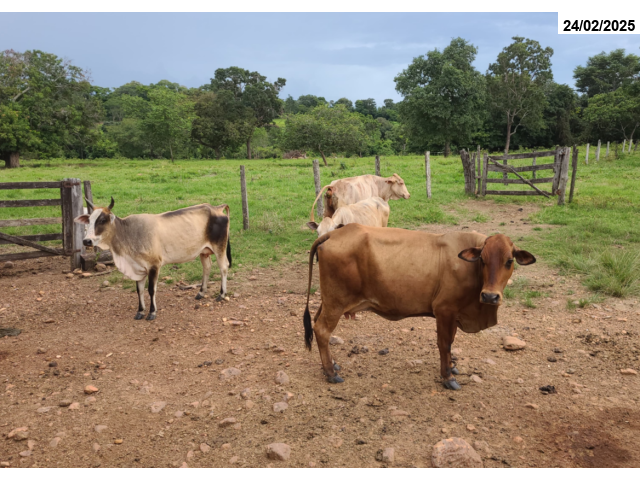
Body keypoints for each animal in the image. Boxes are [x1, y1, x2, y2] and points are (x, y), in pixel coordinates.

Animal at [74, 197, 232, 321]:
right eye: (89, 220)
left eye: (102, 220)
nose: (87, 241)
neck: (127, 233)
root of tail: (216, 208)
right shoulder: (138, 268)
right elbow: (139, 290)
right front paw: (140, 311)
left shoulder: (154, 265)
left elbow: (151, 289)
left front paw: (152, 312)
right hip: (203, 251)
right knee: (207, 267)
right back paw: (201, 292)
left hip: (219, 247)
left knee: (223, 267)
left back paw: (221, 294)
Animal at [302, 225, 535, 390]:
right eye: (483, 260)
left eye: (509, 261)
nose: (489, 296)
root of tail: (333, 234)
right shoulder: (444, 310)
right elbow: (444, 344)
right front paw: (447, 377)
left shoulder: (453, 313)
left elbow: (451, 341)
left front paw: (452, 367)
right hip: (335, 303)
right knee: (322, 330)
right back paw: (331, 373)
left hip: (329, 301)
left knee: (318, 324)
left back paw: (332, 365)